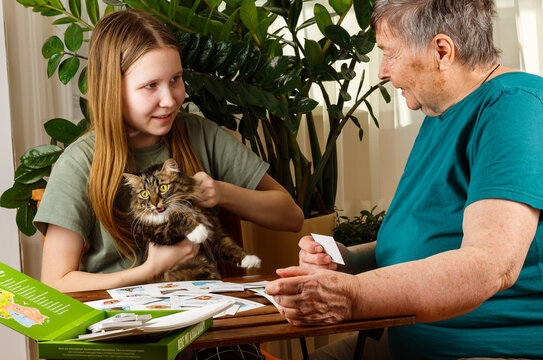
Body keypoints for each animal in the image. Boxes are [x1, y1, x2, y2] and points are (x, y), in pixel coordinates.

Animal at [122, 159, 262, 282]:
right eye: (144, 194)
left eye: (163, 187)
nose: (155, 203)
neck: (187, 206)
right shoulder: (156, 231)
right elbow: (176, 217)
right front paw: (198, 231)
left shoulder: (214, 234)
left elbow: (229, 246)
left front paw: (250, 259)